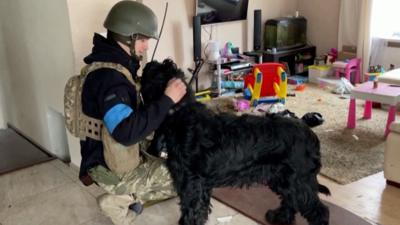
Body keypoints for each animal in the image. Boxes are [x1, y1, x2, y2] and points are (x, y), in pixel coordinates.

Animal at [141, 59, 332, 224]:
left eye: (151, 72)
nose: (148, 63)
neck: (180, 111)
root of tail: (310, 132)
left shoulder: (191, 184)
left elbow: (192, 211)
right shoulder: (201, 186)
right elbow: (200, 211)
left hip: (299, 181)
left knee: (319, 211)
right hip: (283, 179)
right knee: (290, 201)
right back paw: (279, 217)